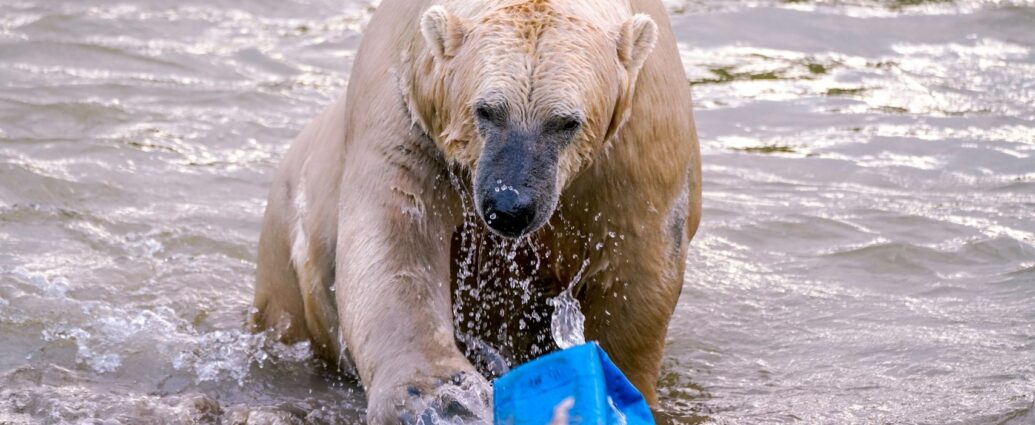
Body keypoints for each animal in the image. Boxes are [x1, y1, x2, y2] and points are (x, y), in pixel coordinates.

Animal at [251, 0, 703, 421]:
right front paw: (446, 399)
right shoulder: (405, 105)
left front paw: (615, 386)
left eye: (566, 122)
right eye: (486, 110)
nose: (510, 206)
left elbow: (636, 271)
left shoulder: (641, 141)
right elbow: (398, 238)